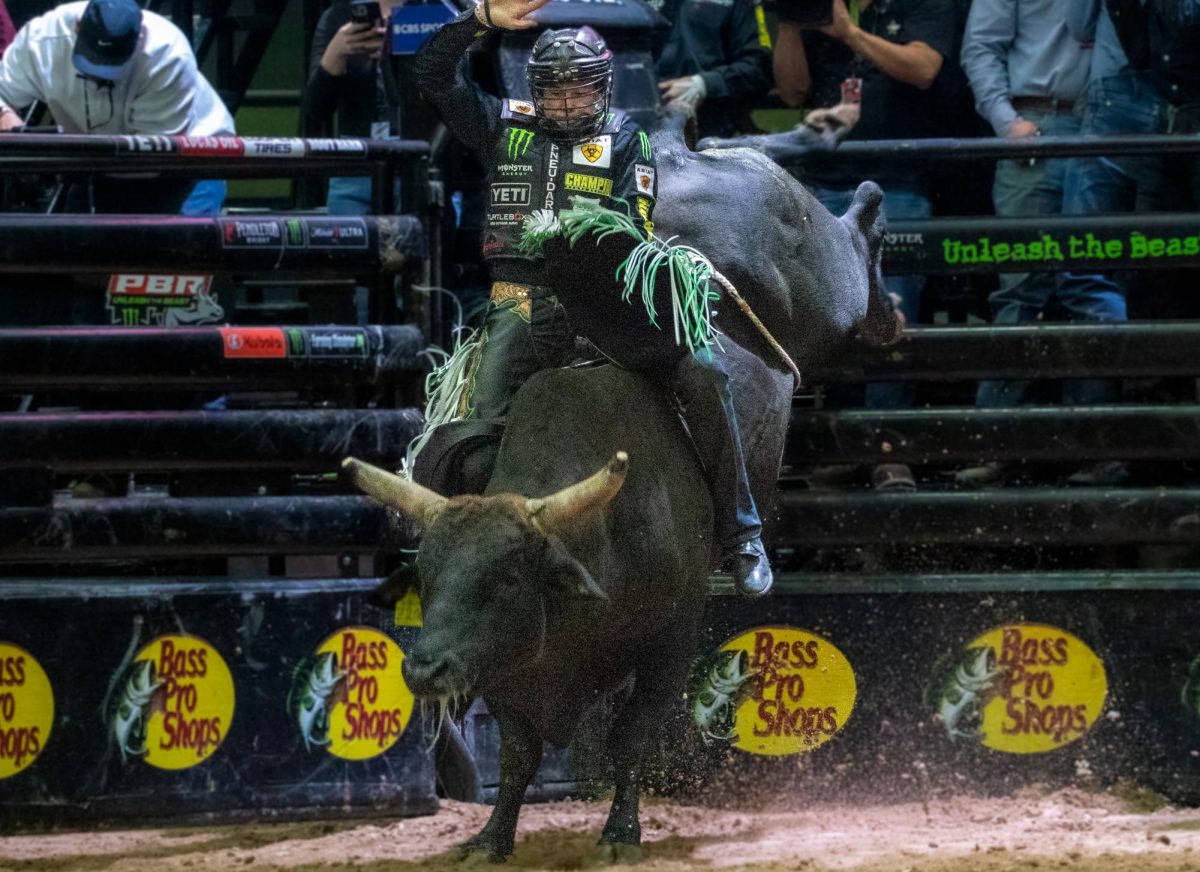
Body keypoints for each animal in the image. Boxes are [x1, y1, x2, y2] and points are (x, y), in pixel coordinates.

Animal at [343, 119, 897, 863]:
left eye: (507, 578)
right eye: (426, 577)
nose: (426, 670)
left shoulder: (671, 639)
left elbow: (630, 735)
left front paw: (621, 831)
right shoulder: (511, 665)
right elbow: (518, 754)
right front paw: (491, 836)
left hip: (812, 277)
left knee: (847, 260)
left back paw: (875, 255)